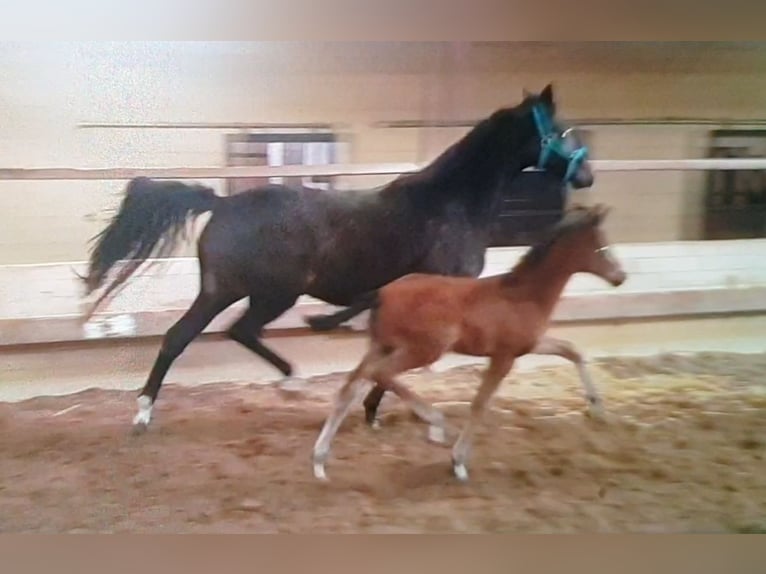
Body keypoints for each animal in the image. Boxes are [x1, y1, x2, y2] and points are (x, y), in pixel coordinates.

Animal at [81, 83, 592, 430]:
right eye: (560, 130)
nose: (585, 175)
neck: (452, 203)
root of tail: (222, 203)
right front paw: (371, 408)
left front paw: (368, 407)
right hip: (260, 292)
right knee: (212, 334)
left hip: (233, 290)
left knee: (198, 335)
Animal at [314, 205, 632, 484]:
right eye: (601, 247)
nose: (620, 277)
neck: (523, 296)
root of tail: (381, 292)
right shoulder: (504, 356)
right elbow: (480, 403)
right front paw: (458, 463)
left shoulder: (529, 344)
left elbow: (571, 350)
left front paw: (597, 409)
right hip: (424, 349)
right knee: (380, 375)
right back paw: (435, 422)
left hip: (383, 345)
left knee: (351, 387)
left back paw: (319, 462)